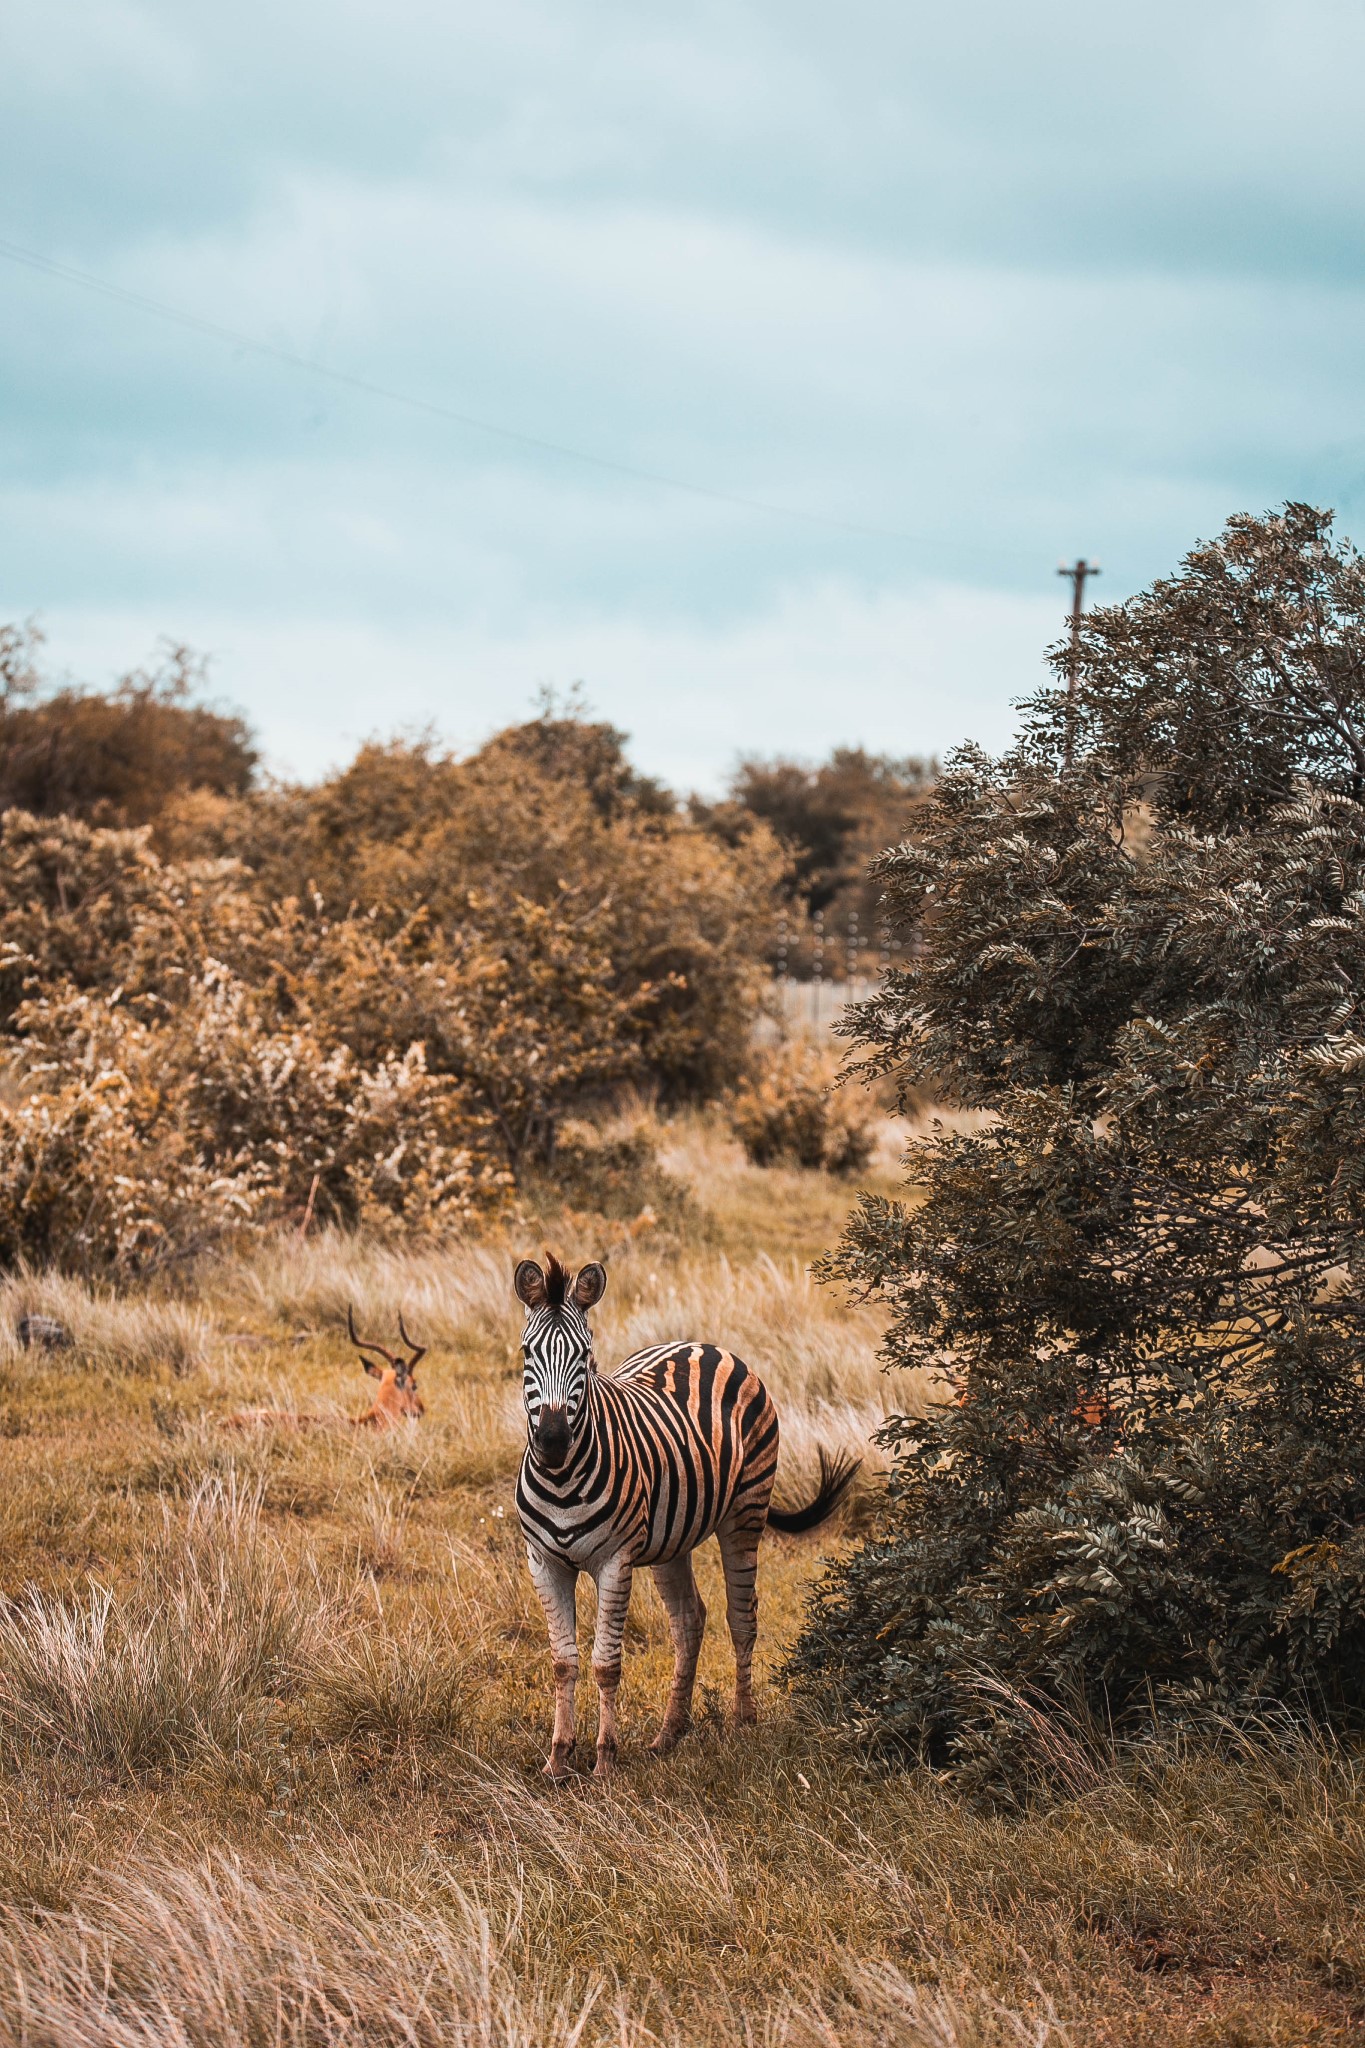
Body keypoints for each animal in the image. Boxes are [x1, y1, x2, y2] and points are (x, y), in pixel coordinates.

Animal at [511, 1245, 855, 1777]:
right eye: (529, 1354)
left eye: (584, 1357)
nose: (551, 1441)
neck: (561, 1480)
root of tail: (701, 1345)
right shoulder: (544, 1562)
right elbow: (563, 1662)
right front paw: (558, 1761)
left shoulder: (614, 1561)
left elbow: (605, 1664)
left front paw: (604, 1763)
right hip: (670, 1539)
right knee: (690, 1621)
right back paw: (669, 1734)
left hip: (745, 1512)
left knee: (741, 1616)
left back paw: (743, 1722)